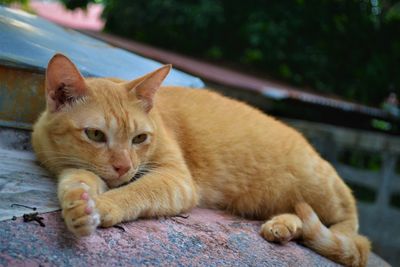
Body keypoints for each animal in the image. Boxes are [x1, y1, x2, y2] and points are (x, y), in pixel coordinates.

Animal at [32, 54, 370, 267]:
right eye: (95, 135)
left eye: (139, 138)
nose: (124, 166)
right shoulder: (72, 167)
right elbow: (77, 181)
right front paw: (79, 205)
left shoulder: (177, 179)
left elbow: (135, 192)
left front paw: (103, 206)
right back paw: (283, 225)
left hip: (319, 187)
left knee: (350, 232)